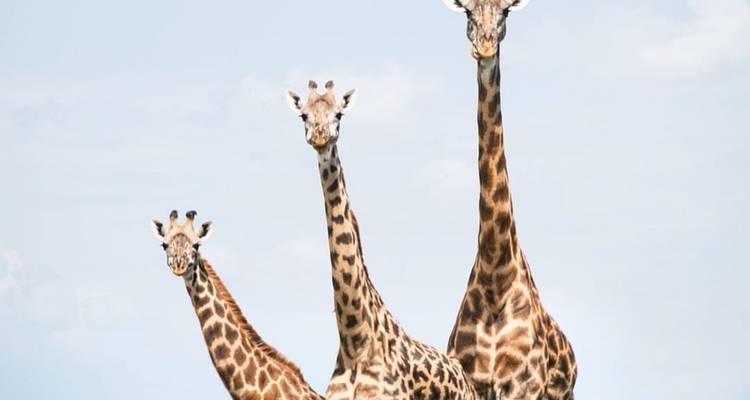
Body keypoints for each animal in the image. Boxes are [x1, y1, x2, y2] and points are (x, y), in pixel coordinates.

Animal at [442, 1, 578, 399]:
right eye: (467, 13)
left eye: (505, 13)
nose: (485, 46)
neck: (495, 274)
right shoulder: (473, 382)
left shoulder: (523, 385)